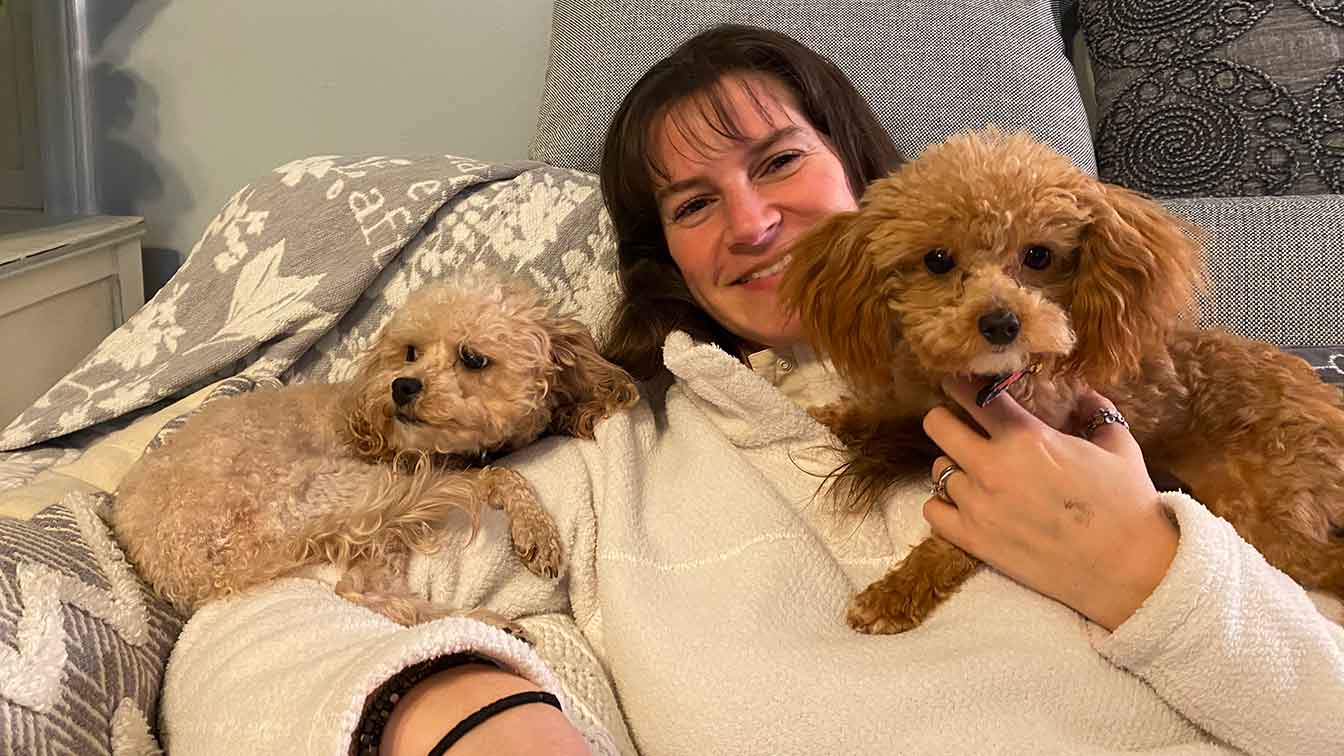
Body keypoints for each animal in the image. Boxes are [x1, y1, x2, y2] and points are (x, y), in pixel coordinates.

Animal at [112, 273, 637, 626]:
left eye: (472, 358)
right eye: (411, 352)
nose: (401, 386)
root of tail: (188, 565)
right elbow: (505, 474)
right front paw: (538, 531)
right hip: (347, 491)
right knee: (358, 591)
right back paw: (483, 622)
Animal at [779, 127, 1344, 629]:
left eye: (1039, 255)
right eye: (937, 260)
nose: (1001, 323)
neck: (984, 384)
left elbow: (953, 541)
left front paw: (895, 594)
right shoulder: (921, 401)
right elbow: (883, 411)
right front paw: (827, 412)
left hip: (1265, 512)